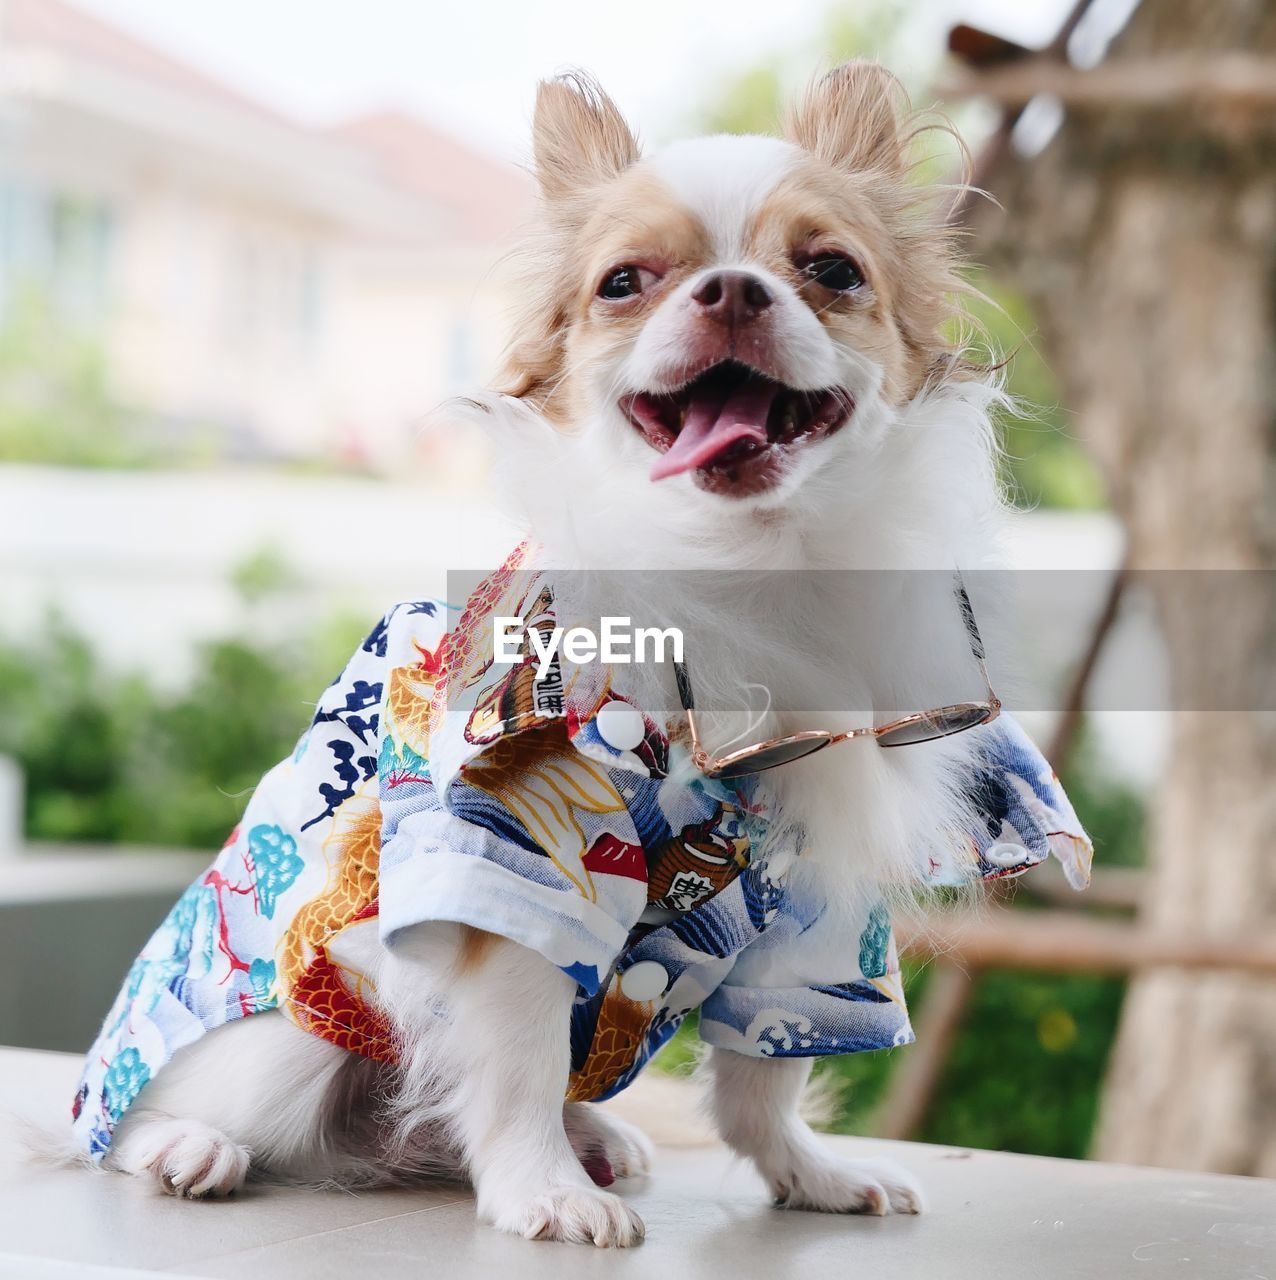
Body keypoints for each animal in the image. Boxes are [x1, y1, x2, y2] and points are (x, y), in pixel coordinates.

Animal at [67, 62, 1085, 1249]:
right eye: (624, 282)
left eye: (832, 270)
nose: (732, 290)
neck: (751, 582)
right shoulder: (520, 876)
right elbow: (512, 1060)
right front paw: (539, 1191)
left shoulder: (818, 922)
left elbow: (763, 1079)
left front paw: (808, 1171)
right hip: (283, 1034)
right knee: (132, 1117)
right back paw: (187, 1143)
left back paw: (589, 1135)